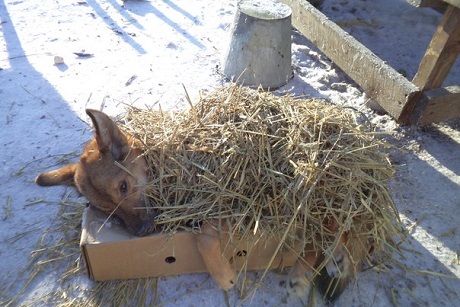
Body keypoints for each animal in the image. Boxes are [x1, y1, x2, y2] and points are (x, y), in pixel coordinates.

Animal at [37, 109, 372, 302]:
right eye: (107, 211)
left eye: (123, 186)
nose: (142, 232)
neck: (166, 159)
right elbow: (203, 234)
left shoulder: (233, 203)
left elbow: (204, 237)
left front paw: (223, 275)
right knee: (325, 238)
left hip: (305, 202)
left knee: (335, 234)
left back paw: (315, 268)